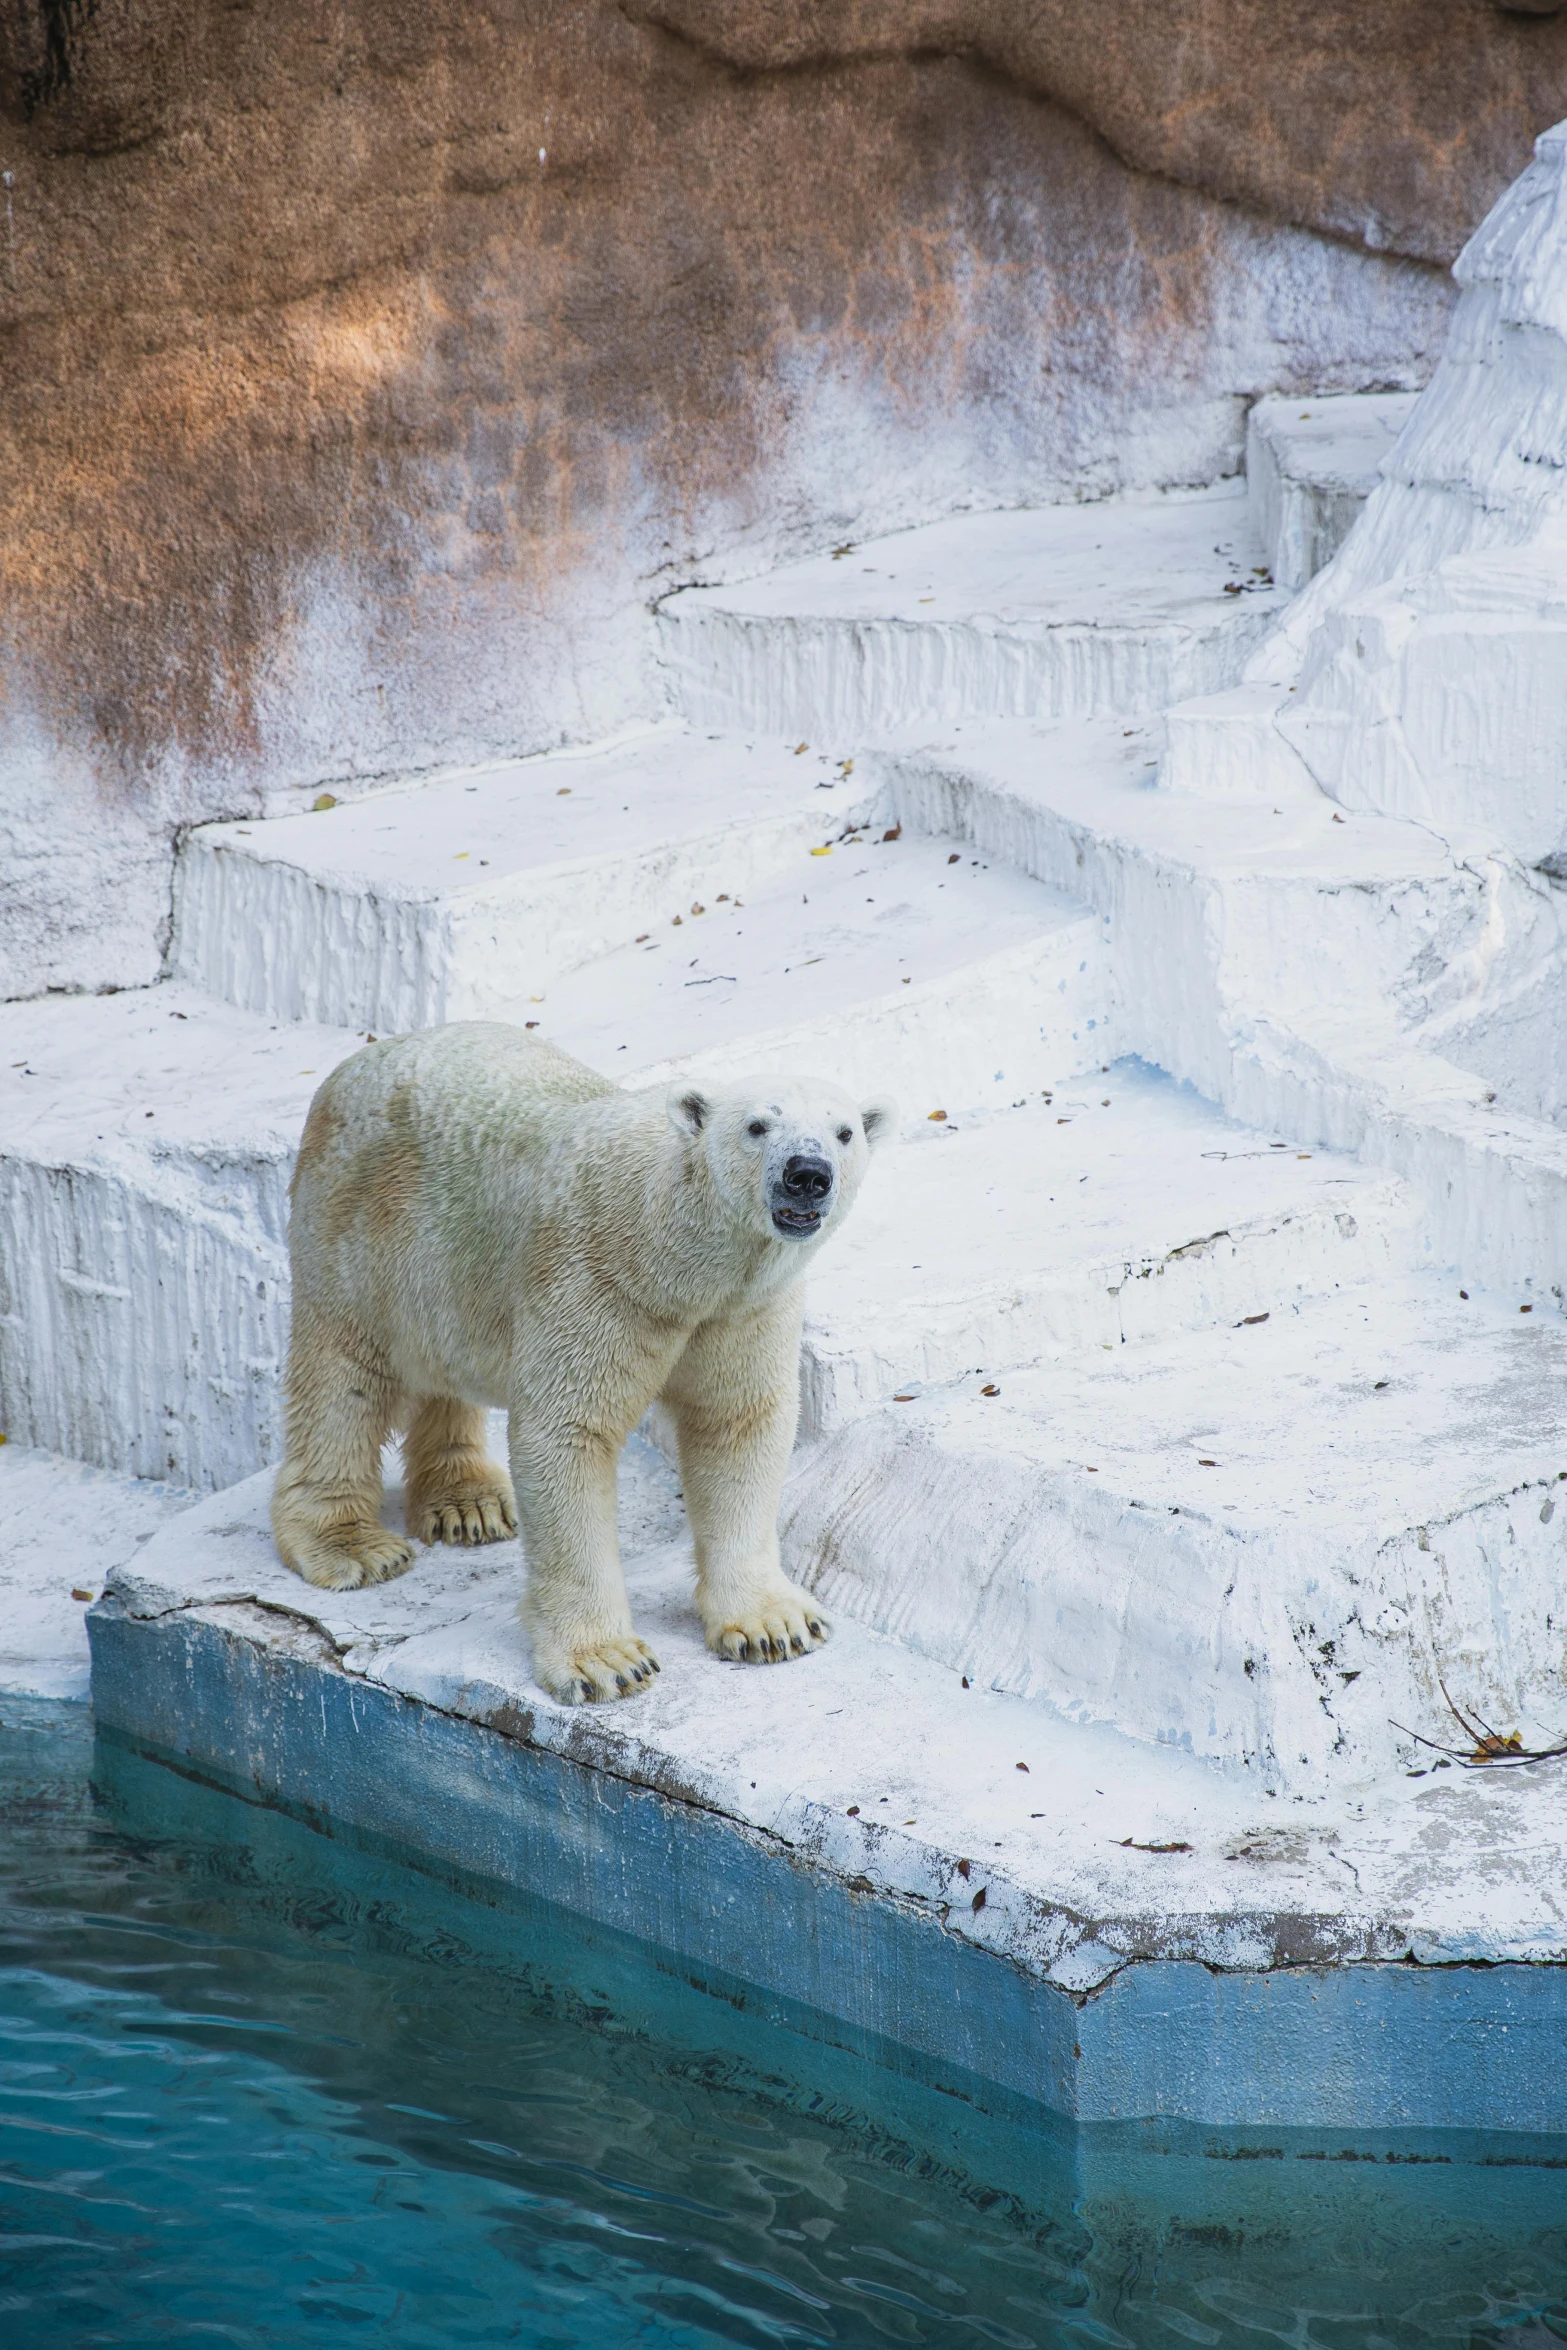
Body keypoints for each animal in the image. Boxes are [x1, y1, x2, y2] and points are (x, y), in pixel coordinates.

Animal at [270, 1029, 892, 1710]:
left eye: (843, 1133)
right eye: (757, 1125)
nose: (807, 1175)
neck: (672, 1252)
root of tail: (354, 1064)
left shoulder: (744, 1306)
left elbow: (738, 1421)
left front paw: (773, 1625)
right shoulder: (596, 1280)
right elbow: (568, 1434)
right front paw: (608, 1662)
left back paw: (469, 1504)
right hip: (358, 1222)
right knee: (343, 1379)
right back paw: (353, 1546)